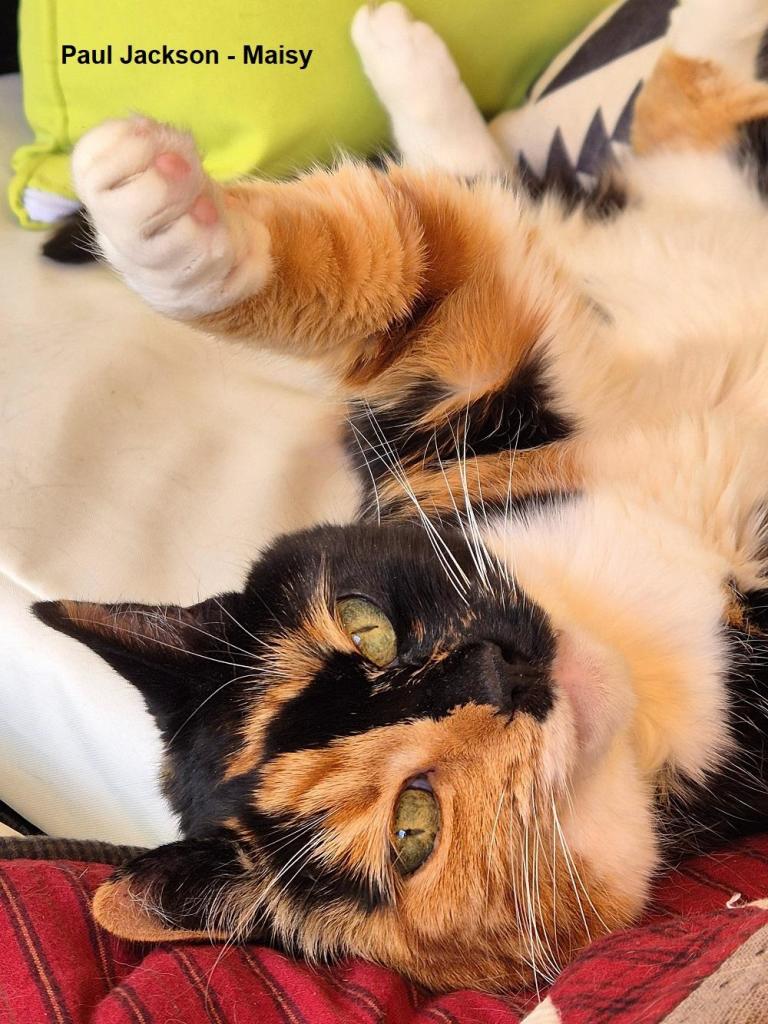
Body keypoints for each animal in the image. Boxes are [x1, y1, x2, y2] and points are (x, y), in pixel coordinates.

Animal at [33, 0, 768, 991]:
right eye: (414, 826)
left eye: (366, 625)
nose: (501, 673)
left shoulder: (457, 411)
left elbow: (389, 269)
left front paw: (164, 222)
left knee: (620, 132)